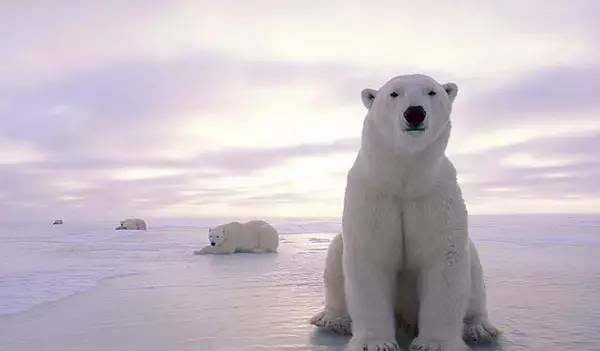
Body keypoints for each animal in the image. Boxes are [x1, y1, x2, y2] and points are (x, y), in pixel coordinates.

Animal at [312, 74, 500, 351]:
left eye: (432, 92)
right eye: (394, 93)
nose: (414, 112)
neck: (405, 180)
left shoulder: (435, 197)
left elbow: (444, 260)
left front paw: (434, 344)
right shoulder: (374, 196)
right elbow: (370, 258)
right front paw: (375, 344)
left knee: (474, 270)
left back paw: (479, 329)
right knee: (336, 254)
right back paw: (334, 321)